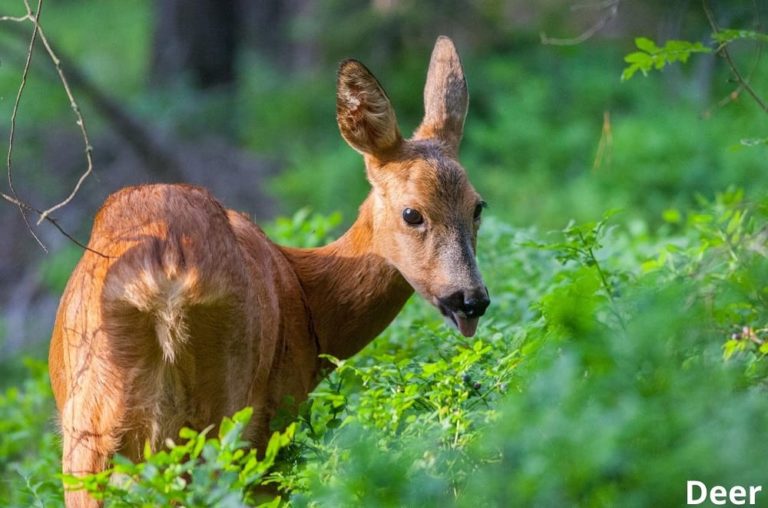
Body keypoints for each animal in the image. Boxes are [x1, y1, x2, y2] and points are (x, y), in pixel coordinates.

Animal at [49, 36, 490, 506]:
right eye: (412, 213)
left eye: (477, 206)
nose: (471, 299)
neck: (310, 302)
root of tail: (165, 273)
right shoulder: (277, 416)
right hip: (217, 403)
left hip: (96, 424)